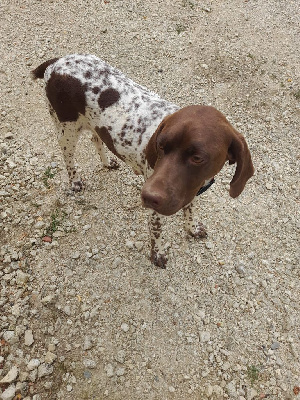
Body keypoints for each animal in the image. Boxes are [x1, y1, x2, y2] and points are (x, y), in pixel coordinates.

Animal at [32, 52, 253, 266]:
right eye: (160, 146)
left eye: (198, 158)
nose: (147, 196)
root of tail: (57, 62)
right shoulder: (158, 207)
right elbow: (156, 230)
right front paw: (158, 254)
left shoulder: (189, 190)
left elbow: (189, 211)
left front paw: (191, 228)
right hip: (66, 129)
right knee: (68, 157)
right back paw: (75, 181)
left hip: (93, 125)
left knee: (96, 138)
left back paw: (107, 162)